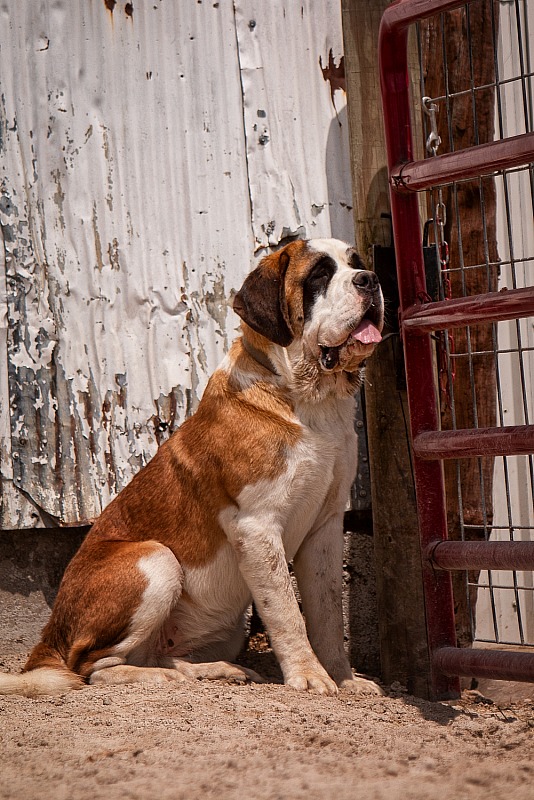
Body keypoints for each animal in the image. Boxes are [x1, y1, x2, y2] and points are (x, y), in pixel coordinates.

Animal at [0, 236, 386, 692]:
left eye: (355, 263)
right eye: (320, 275)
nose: (370, 279)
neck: (309, 401)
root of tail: (49, 634)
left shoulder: (325, 527)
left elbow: (326, 614)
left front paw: (344, 678)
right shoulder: (256, 528)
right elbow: (287, 613)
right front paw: (309, 677)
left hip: (224, 626)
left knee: (155, 654)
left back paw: (213, 670)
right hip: (156, 561)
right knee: (92, 667)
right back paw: (160, 679)